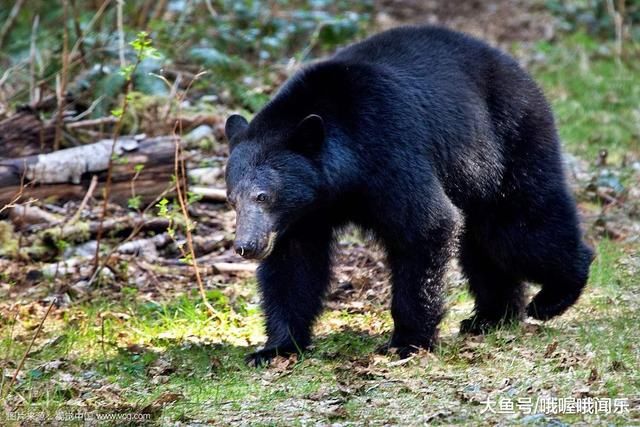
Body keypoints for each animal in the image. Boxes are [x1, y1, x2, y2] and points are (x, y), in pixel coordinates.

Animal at [224, 25, 596, 366]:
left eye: (263, 196)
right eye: (232, 198)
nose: (247, 246)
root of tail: (515, 67)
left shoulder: (390, 152)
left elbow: (425, 226)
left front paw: (408, 341)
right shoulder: (303, 214)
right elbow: (293, 265)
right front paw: (276, 348)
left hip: (510, 141)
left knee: (519, 227)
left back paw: (555, 294)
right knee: (482, 244)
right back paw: (491, 317)